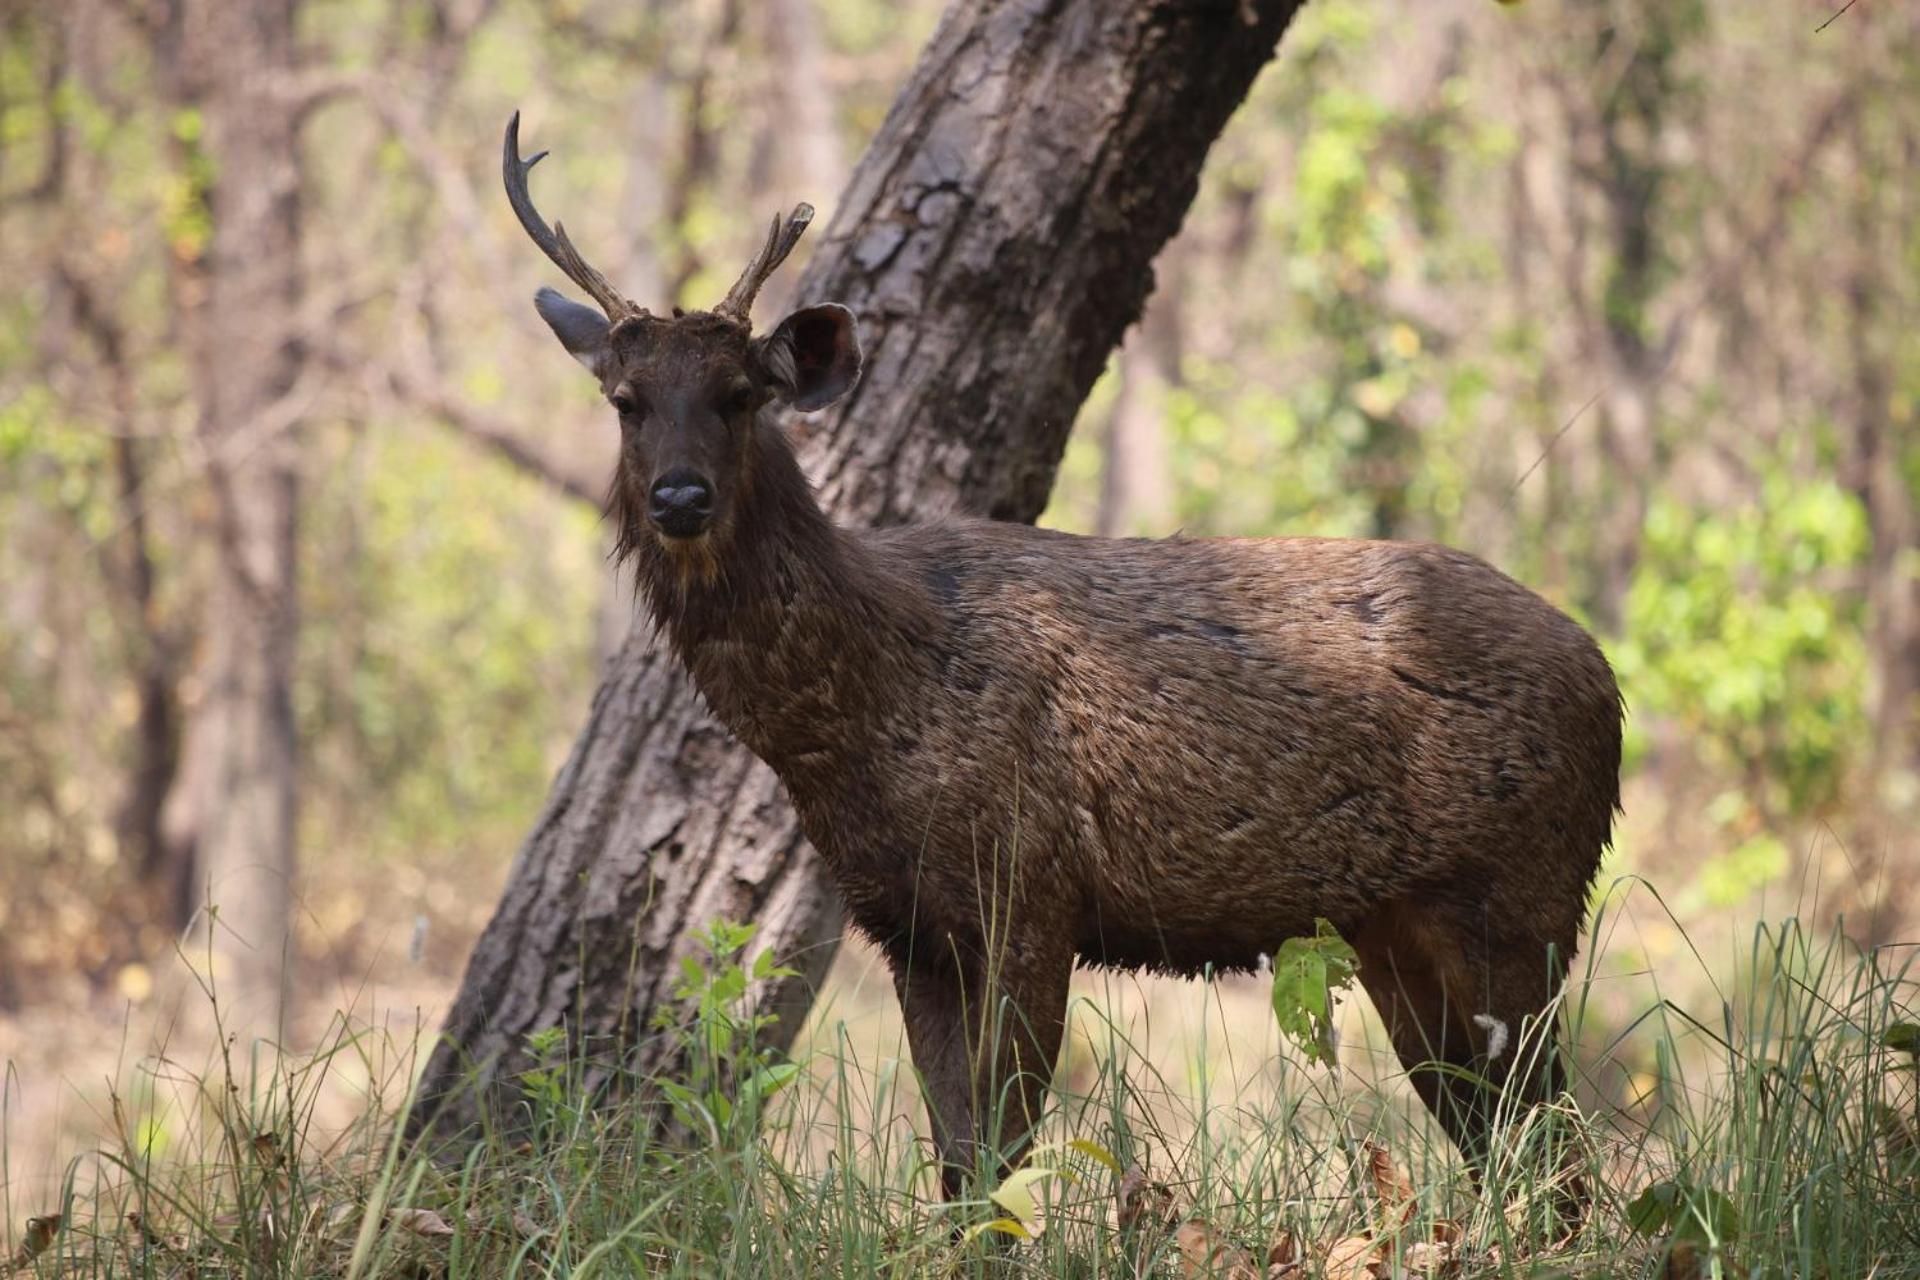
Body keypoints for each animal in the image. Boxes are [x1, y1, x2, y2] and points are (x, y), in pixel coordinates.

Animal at [499, 112, 1620, 1205]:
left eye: (740, 393)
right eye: (625, 398)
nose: (680, 497)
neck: (862, 710)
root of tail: (1607, 681)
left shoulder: (1029, 888)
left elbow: (1005, 1158)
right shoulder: (908, 924)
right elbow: (958, 1167)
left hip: (1522, 889)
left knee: (1554, 1140)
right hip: (1398, 923)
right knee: (1497, 1134)